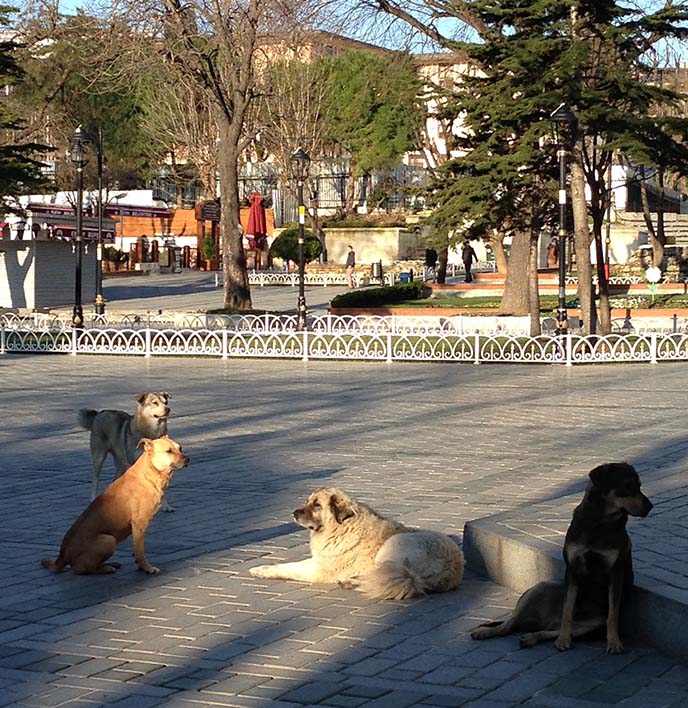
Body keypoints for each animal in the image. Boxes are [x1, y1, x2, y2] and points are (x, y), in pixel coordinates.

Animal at [42, 436, 188, 576]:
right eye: (169, 451)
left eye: (180, 448)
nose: (188, 459)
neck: (150, 474)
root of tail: (62, 555)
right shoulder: (139, 524)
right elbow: (140, 551)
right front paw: (148, 568)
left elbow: (136, 550)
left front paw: (140, 566)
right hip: (108, 540)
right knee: (80, 569)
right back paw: (106, 568)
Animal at [247, 486, 462, 596]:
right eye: (308, 501)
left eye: (316, 505)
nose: (294, 513)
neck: (341, 526)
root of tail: (452, 570)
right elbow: (287, 564)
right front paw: (262, 568)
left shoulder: (319, 570)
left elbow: (289, 569)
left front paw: (261, 571)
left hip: (392, 546)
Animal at [470, 462, 652, 656]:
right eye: (627, 485)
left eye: (639, 485)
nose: (650, 506)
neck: (598, 521)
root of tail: (545, 621)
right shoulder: (572, 569)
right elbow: (567, 610)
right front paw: (564, 640)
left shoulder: (616, 573)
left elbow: (613, 614)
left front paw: (614, 642)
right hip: (540, 588)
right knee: (508, 625)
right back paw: (485, 632)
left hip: (590, 624)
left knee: (543, 631)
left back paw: (531, 637)